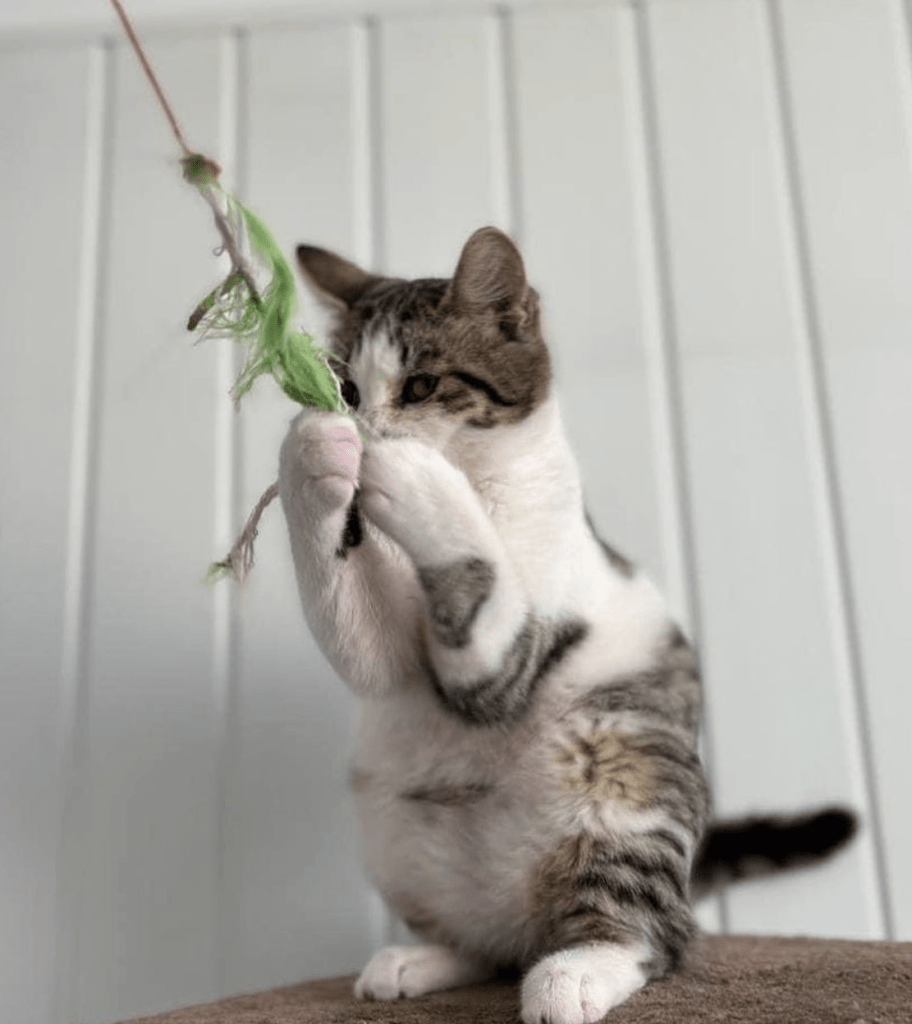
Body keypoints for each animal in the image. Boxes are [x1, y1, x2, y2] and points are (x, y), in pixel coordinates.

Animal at [278, 226, 855, 1024]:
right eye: (348, 390)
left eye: (421, 386)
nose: (363, 428)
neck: (482, 485)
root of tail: (527, 923)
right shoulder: (390, 658)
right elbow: (359, 635)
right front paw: (313, 450)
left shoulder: (512, 646)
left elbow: (478, 582)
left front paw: (413, 474)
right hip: (391, 828)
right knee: (483, 946)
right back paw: (423, 958)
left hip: (625, 772)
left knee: (659, 937)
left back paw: (573, 973)